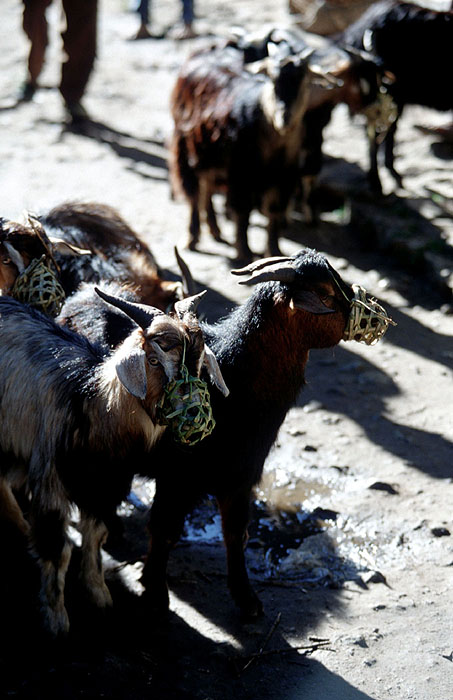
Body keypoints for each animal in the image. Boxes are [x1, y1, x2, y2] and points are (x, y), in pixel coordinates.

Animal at [0, 288, 226, 636]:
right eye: (153, 360)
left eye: (201, 364)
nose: (193, 416)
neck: (91, 401)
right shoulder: (51, 481)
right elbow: (58, 549)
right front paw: (56, 617)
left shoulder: (105, 486)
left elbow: (96, 536)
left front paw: (99, 596)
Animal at [65, 250, 393, 618]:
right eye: (324, 294)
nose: (375, 315)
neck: (235, 375)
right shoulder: (179, 476)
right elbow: (164, 530)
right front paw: (155, 595)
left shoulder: (241, 476)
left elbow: (237, 534)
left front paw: (247, 599)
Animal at [169, 45, 331, 262]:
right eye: (272, 79)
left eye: (304, 80)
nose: (285, 117)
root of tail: (200, 52)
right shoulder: (242, 172)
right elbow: (243, 213)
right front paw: (245, 253)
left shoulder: (284, 176)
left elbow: (275, 212)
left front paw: (274, 252)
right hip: (186, 142)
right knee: (194, 190)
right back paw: (192, 237)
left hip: (211, 153)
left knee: (207, 186)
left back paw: (214, 229)